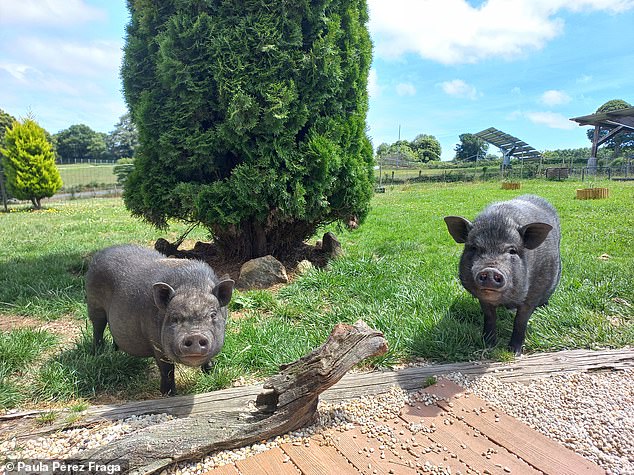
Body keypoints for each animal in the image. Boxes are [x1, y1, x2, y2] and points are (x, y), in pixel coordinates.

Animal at [83, 244, 232, 396]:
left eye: (213, 315)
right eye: (174, 317)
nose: (195, 335)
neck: (192, 286)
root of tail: (100, 253)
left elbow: (209, 360)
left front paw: (212, 374)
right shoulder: (156, 342)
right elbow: (167, 369)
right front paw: (169, 394)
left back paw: (116, 351)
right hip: (94, 304)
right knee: (97, 328)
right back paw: (98, 353)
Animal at [442, 195, 560, 356]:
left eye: (512, 250)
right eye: (474, 248)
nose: (491, 270)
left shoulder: (533, 294)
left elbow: (521, 320)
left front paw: (514, 352)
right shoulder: (484, 300)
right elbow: (490, 317)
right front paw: (488, 345)